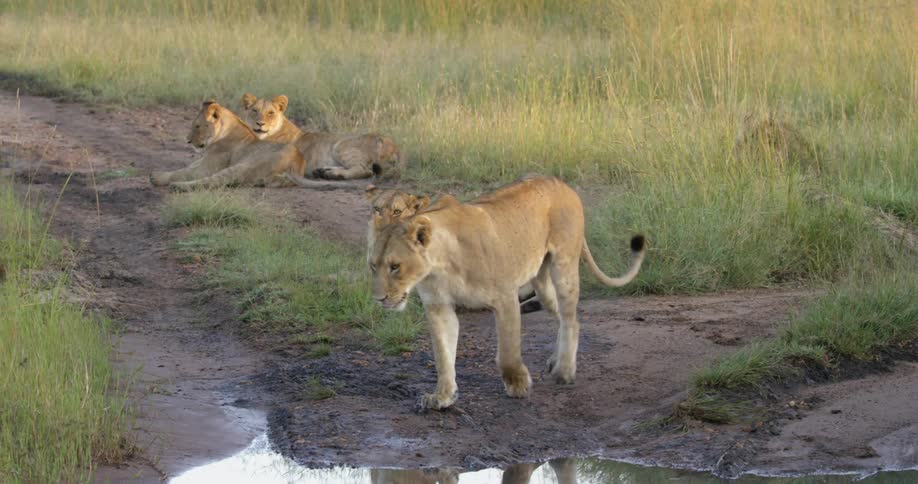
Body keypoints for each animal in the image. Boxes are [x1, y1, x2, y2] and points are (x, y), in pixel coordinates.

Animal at [150, 101, 305, 190]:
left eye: (198, 126)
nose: (188, 140)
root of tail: (296, 164)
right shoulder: (202, 161)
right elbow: (186, 167)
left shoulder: (207, 168)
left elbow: (183, 173)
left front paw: (158, 176)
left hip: (243, 166)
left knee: (211, 182)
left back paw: (176, 186)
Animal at [240, 93, 403, 182]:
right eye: (254, 111)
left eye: (270, 113)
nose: (260, 123)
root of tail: (393, 144)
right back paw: (323, 171)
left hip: (341, 145)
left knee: (365, 170)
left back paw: (334, 175)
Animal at [368, 175, 645, 409]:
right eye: (373, 265)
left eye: (395, 266)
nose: (379, 299)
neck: (439, 265)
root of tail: (562, 183)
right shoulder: (438, 307)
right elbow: (443, 356)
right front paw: (443, 396)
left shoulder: (505, 297)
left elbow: (507, 353)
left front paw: (519, 385)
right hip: (542, 285)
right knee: (564, 316)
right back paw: (555, 361)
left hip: (564, 265)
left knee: (570, 318)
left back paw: (564, 371)